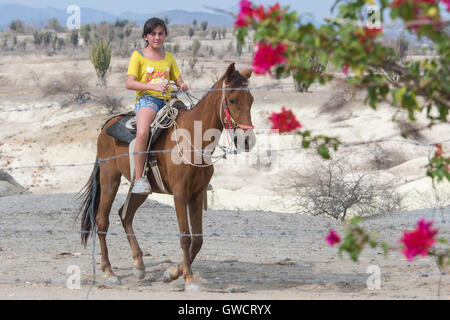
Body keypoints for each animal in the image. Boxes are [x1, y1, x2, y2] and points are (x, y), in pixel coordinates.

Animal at [76, 62, 255, 290]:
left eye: (251, 100)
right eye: (232, 100)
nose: (248, 141)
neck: (192, 139)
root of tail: (106, 125)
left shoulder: (196, 195)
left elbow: (198, 240)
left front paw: (172, 273)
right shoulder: (180, 194)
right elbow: (185, 237)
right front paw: (188, 279)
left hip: (141, 189)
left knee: (125, 215)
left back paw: (139, 265)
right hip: (110, 180)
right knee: (102, 221)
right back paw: (109, 271)